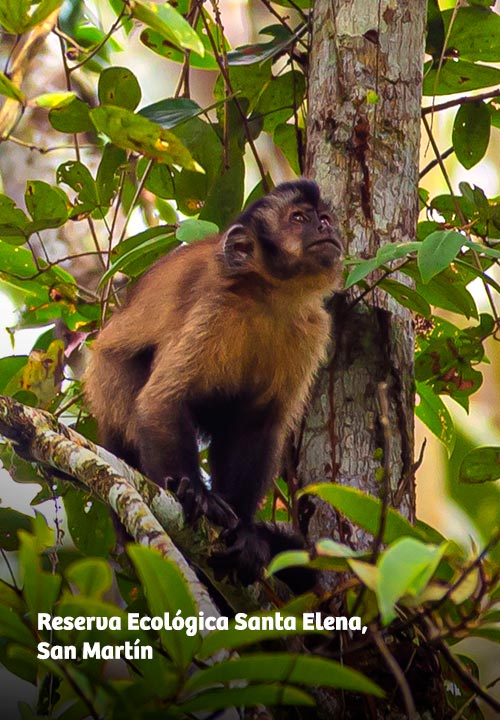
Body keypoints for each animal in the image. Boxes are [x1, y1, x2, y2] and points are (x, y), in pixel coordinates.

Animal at [85, 179, 344, 584]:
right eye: (299, 219)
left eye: (325, 218)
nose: (325, 227)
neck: (270, 295)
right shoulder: (215, 306)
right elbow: (162, 399)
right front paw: (195, 495)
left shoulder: (313, 328)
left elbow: (259, 424)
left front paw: (248, 535)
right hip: (107, 379)